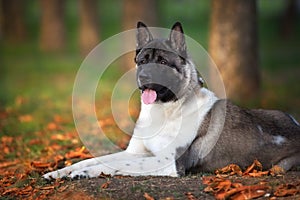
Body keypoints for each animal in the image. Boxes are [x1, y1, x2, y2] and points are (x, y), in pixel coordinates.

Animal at [42, 22, 300, 180]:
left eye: (164, 63)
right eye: (142, 61)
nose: (144, 77)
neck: (167, 110)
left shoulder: (167, 163)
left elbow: (111, 165)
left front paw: (85, 173)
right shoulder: (137, 153)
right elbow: (92, 159)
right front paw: (59, 172)